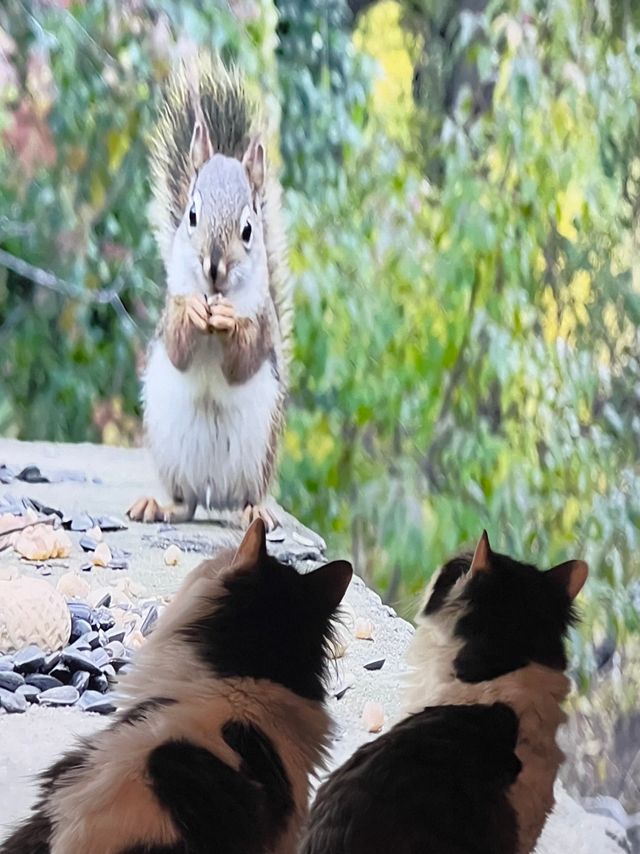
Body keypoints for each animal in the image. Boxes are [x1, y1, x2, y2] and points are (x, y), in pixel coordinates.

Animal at [128, 56, 292, 531]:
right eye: (192, 215)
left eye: (249, 229)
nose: (214, 269)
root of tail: (213, 491)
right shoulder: (168, 310)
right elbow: (178, 347)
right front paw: (194, 316)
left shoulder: (264, 323)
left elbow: (244, 359)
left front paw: (228, 321)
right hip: (173, 455)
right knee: (185, 503)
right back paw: (159, 506)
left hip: (258, 456)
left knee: (244, 500)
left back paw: (255, 511)